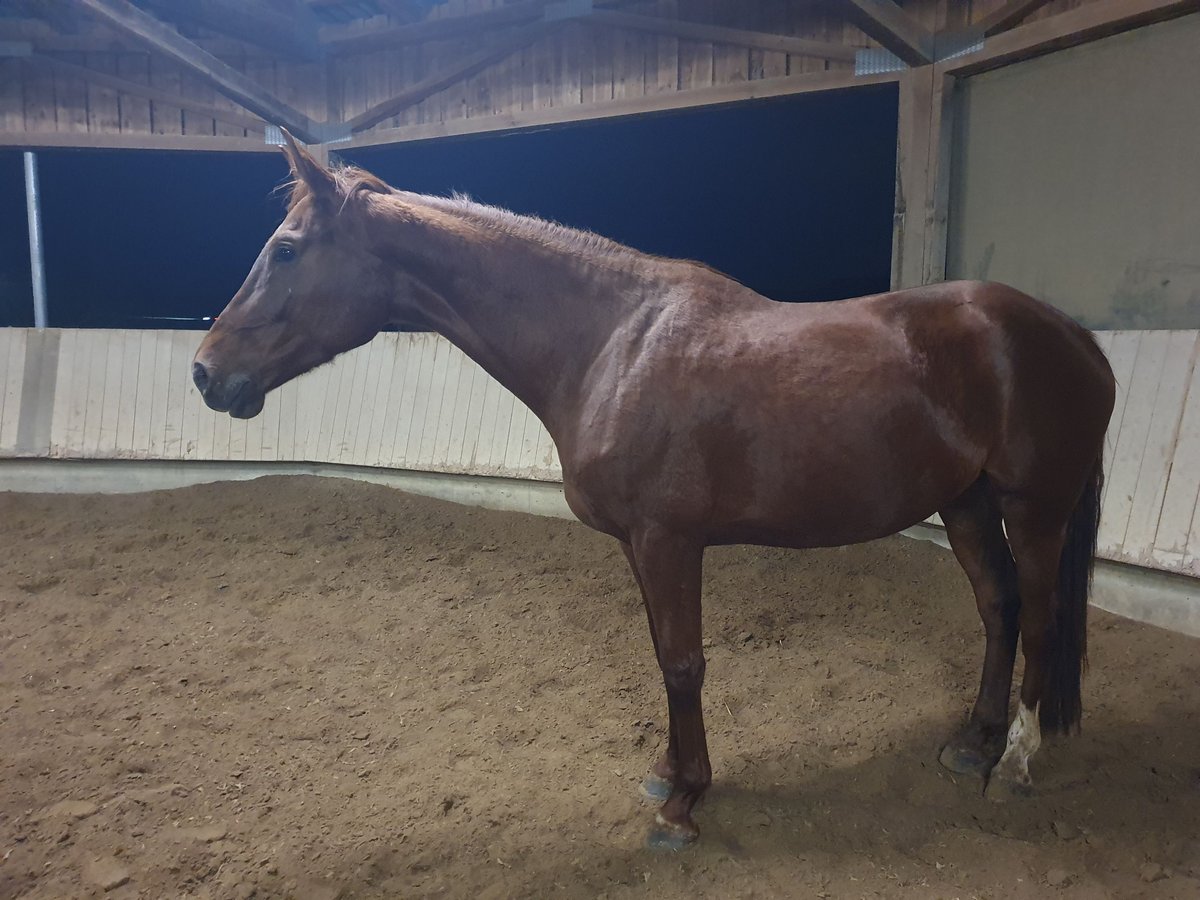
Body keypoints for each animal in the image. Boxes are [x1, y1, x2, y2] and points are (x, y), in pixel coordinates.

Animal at [192, 130, 1118, 849]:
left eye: (285, 248)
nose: (205, 372)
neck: (612, 343)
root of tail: (1075, 336)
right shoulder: (644, 546)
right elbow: (664, 659)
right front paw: (670, 773)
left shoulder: (669, 540)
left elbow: (682, 662)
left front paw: (683, 803)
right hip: (965, 501)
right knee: (998, 606)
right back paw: (973, 743)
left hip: (1035, 508)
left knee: (1039, 617)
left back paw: (1017, 762)